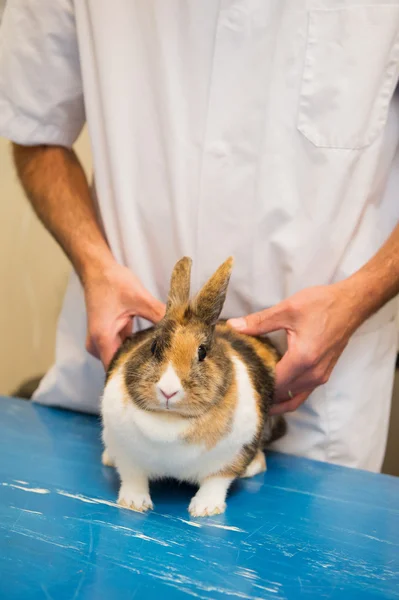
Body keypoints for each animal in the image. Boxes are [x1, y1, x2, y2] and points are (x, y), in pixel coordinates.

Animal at [101, 255, 286, 516]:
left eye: (202, 352)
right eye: (154, 347)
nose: (168, 391)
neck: (170, 422)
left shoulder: (229, 459)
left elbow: (216, 483)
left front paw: (205, 509)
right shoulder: (127, 455)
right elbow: (133, 478)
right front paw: (134, 503)